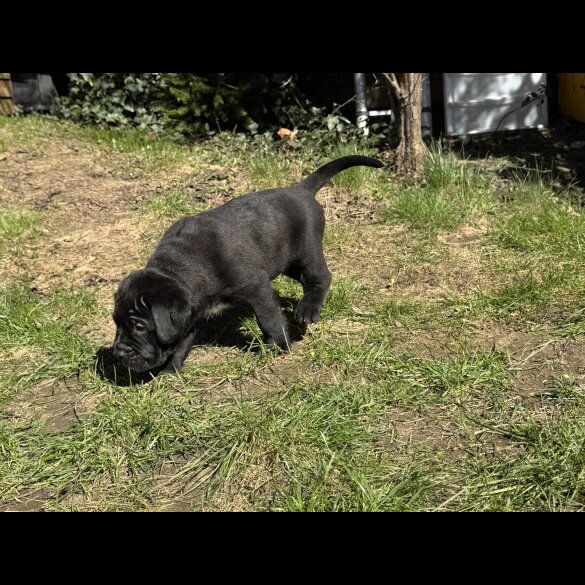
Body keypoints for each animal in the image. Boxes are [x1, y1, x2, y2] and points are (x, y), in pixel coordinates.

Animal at [113, 154, 384, 374]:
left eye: (140, 327)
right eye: (116, 322)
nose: (119, 352)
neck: (181, 268)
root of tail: (301, 190)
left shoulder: (256, 287)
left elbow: (269, 318)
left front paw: (278, 346)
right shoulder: (191, 312)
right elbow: (181, 341)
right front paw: (171, 370)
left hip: (306, 250)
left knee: (320, 277)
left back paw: (308, 309)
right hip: (284, 261)